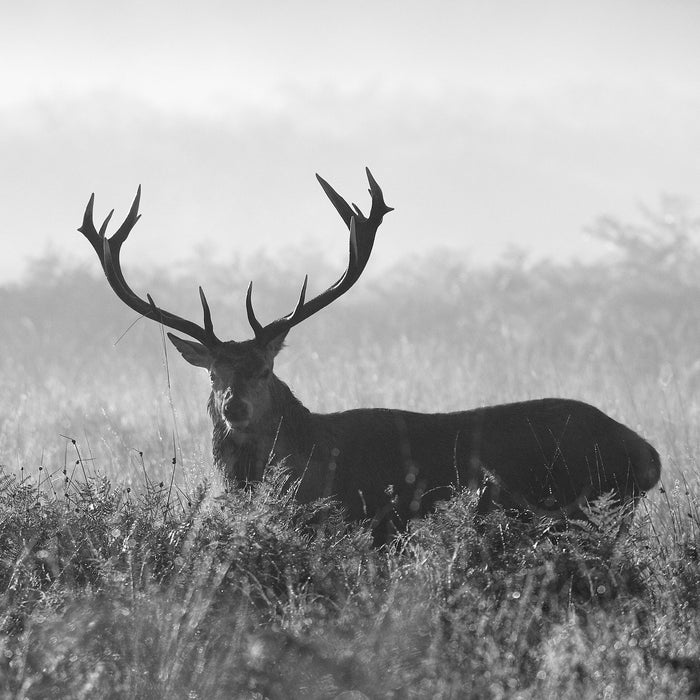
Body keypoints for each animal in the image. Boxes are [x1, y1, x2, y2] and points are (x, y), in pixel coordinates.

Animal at [79, 168, 660, 540]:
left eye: (265, 369)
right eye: (213, 373)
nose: (234, 407)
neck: (312, 461)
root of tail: (649, 456)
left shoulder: (370, 522)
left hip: (578, 505)